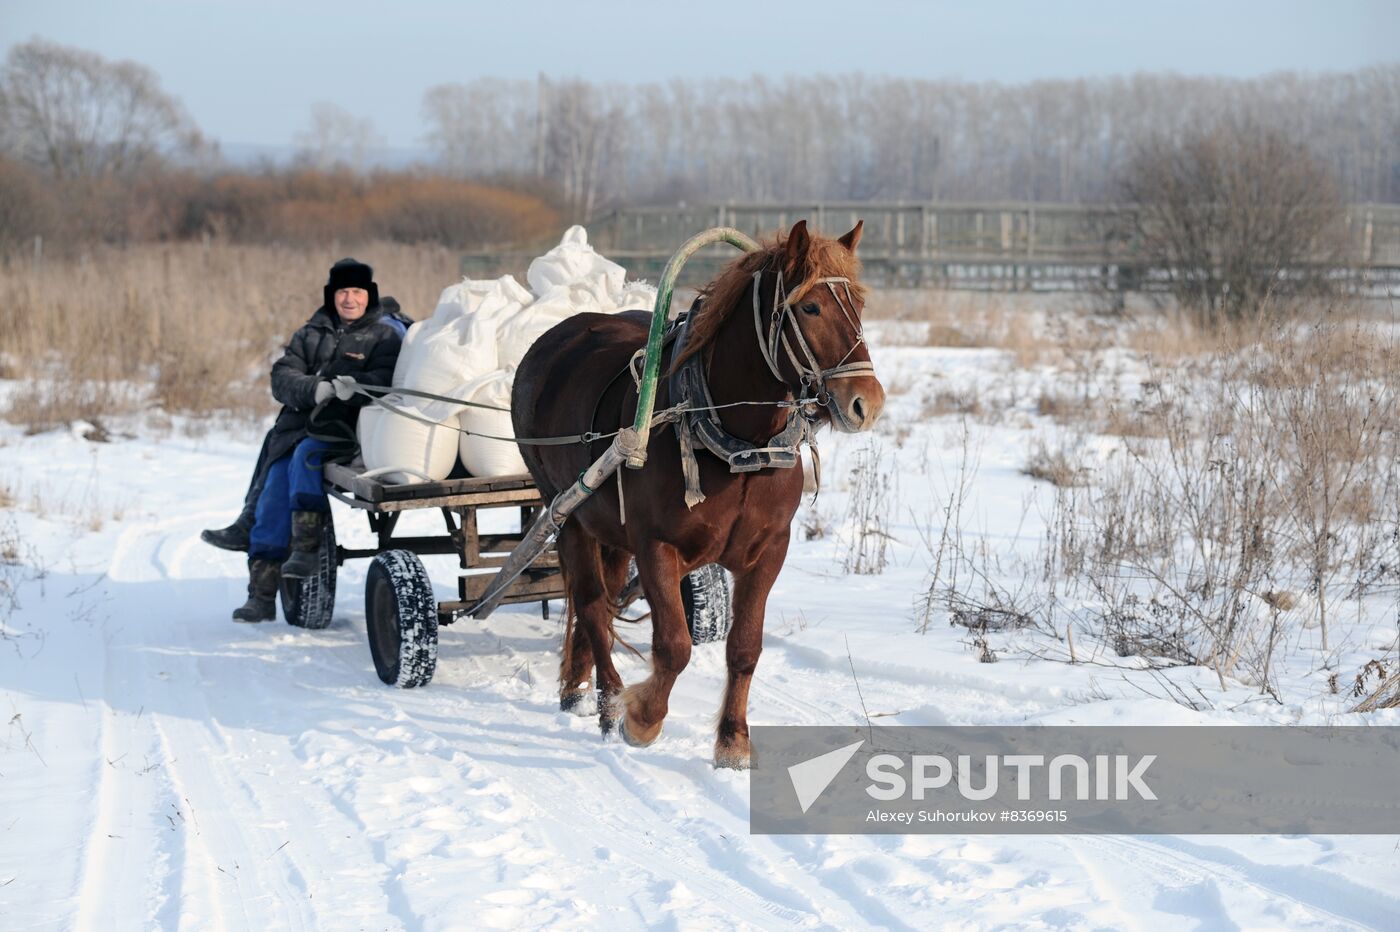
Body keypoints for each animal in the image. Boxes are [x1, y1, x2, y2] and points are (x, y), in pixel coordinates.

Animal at [512, 221, 884, 766]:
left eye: (858, 302)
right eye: (810, 307)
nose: (867, 403)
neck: (738, 446)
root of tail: (555, 339)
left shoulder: (769, 551)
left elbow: (744, 647)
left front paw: (732, 740)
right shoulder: (656, 546)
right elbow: (674, 645)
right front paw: (642, 719)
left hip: (607, 529)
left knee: (599, 601)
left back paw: (577, 687)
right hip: (567, 511)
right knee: (593, 605)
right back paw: (607, 701)